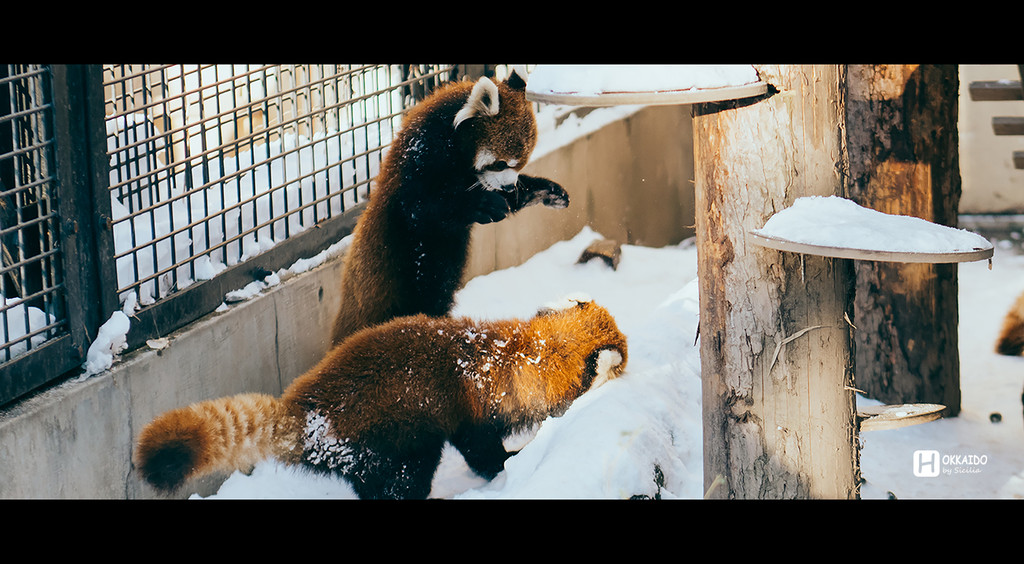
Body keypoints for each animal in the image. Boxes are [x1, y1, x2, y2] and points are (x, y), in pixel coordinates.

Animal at [135, 294, 622, 499]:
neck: (517, 357)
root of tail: (304, 411)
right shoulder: (469, 410)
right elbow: (481, 452)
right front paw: (512, 463)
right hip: (389, 435)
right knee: (407, 479)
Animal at [331, 69, 569, 345]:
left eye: (520, 164)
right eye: (500, 163)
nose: (509, 187)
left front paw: (547, 191)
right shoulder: (420, 158)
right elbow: (420, 207)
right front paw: (485, 204)